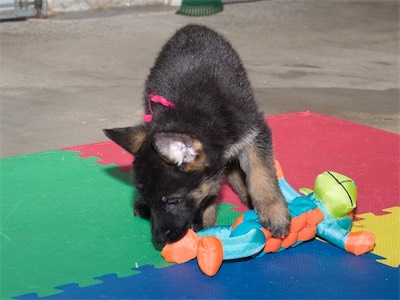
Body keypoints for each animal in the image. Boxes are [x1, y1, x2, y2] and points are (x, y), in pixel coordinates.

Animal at [103, 24, 290, 246]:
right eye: (149, 198)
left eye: (173, 200)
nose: (158, 239)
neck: (192, 115)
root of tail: (192, 26)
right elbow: (211, 191)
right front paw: (208, 225)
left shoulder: (254, 131)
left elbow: (261, 173)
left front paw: (273, 211)